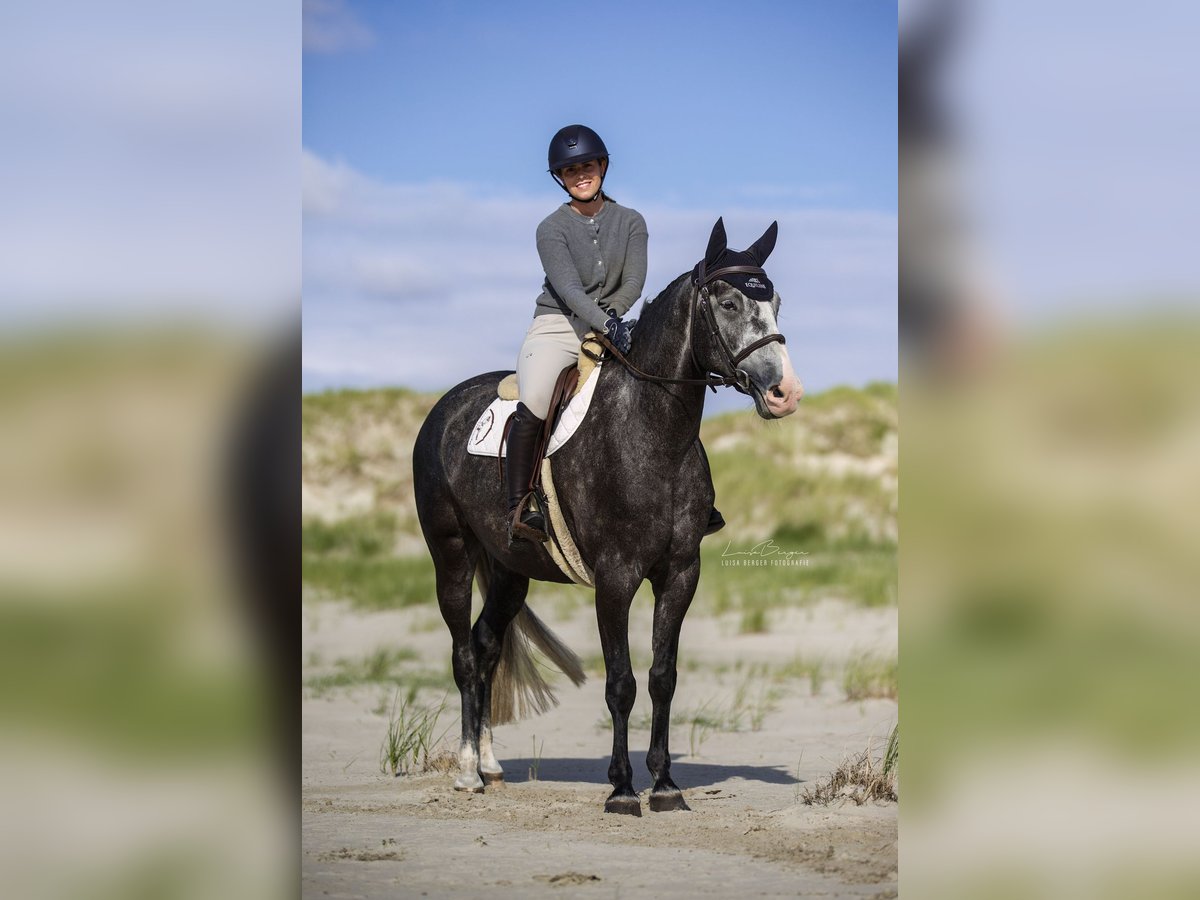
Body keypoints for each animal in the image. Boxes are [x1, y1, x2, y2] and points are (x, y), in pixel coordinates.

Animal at [415, 218, 806, 816]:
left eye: (777, 302)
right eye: (728, 301)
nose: (785, 393)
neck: (651, 432)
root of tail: (444, 407)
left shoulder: (680, 574)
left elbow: (663, 677)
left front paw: (665, 785)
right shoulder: (615, 579)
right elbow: (620, 682)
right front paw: (622, 789)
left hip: (509, 570)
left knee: (485, 648)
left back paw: (490, 766)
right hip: (452, 555)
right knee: (462, 653)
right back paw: (465, 772)